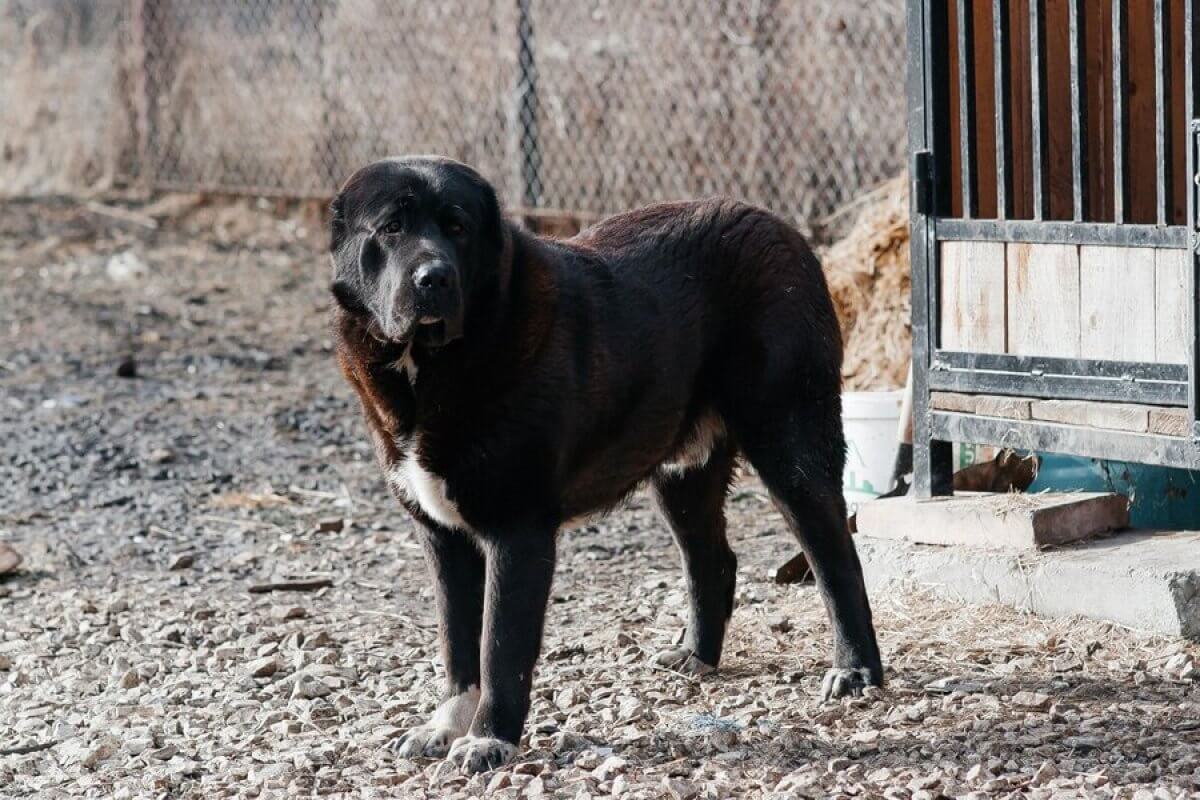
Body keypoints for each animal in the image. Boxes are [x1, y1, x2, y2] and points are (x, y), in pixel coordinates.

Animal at [328, 155, 883, 777]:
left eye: (457, 228)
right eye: (391, 229)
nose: (434, 278)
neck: (434, 367)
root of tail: (782, 228)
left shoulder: (517, 534)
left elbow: (500, 647)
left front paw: (489, 739)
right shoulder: (443, 538)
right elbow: (457, 641)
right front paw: (446, 726)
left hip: (790, 444)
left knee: (835, 557)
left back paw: (856, 672)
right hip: (681, 473)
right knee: (712, 560)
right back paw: (697, 655)